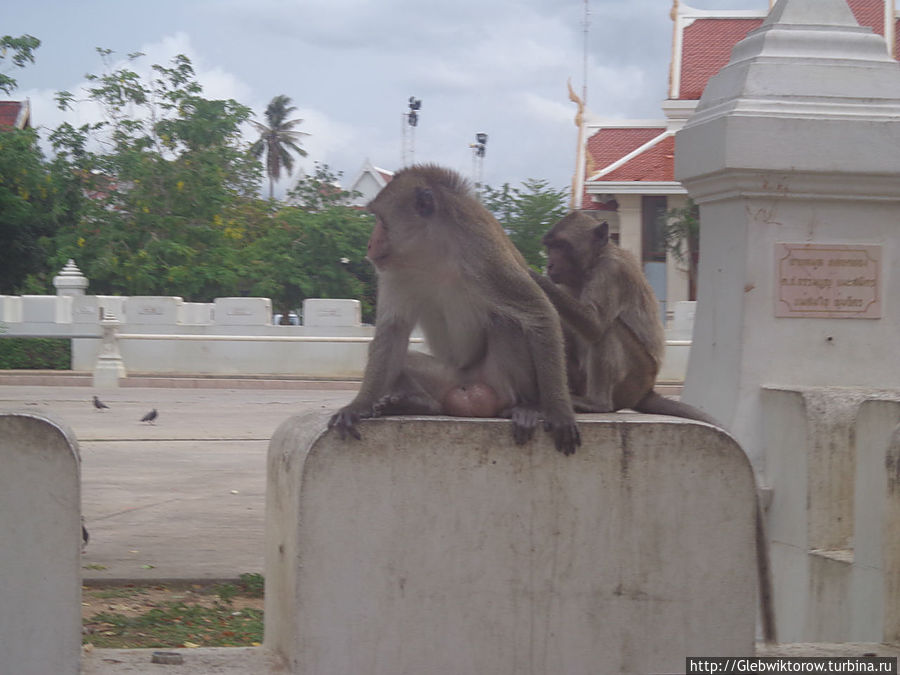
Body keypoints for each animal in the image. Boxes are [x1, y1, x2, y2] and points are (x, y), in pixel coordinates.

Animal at [326, 166, 580, 456]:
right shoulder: (395, 271)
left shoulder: (484, 256)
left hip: (495, 381)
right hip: (447, 380)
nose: (370, 244)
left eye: (380, 219)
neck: (435, 250)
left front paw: (558, 410)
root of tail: (467, 388)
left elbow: (539, 313)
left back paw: (525, 406)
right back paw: (421, 404)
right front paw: (359, 406)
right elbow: (393, 330)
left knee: (507, 322)